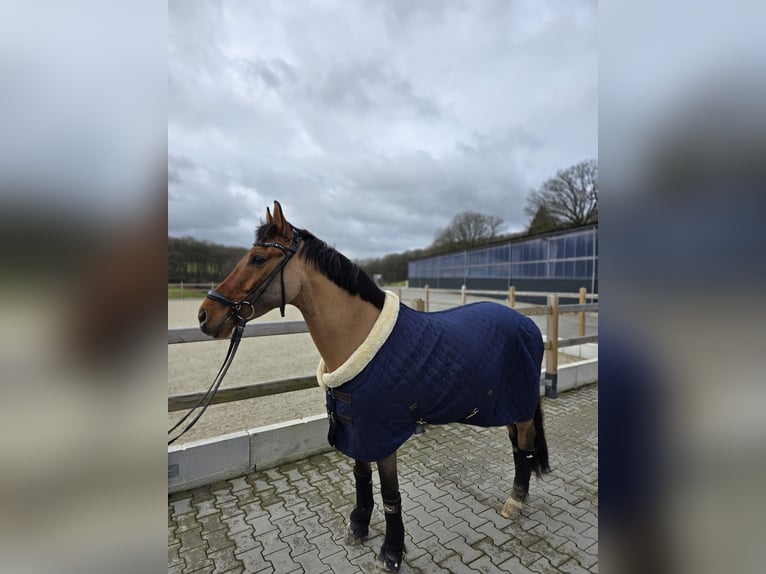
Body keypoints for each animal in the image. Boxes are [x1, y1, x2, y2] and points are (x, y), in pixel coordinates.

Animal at [197, 201, 550, 572]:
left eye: (257, 258)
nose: (205, 314)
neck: (360, 336)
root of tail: (527, 322)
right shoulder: (356, 428)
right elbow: (361, 477)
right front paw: (358, 526)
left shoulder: (383, 435)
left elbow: (390, 494)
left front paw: (392, 551)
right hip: (507, 406)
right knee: (517, 446)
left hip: (520, 405)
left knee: (526, 447)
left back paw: (515, 501)